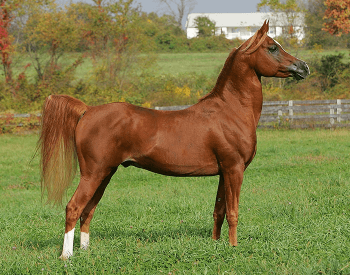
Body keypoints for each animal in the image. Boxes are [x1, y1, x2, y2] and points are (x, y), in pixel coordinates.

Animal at [38, 20, 308, 260]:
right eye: (272, 47)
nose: (303, 67)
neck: (229, 111)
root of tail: (88, 110)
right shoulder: (234, 169)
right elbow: (233, 212)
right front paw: (233, 248)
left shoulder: (224, 172)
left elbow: (218, 211)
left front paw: (216, 245)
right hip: (93, 174)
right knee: (74, 207)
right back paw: (67, 256)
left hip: (105, 173)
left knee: (88, 210)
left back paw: (85, 252)